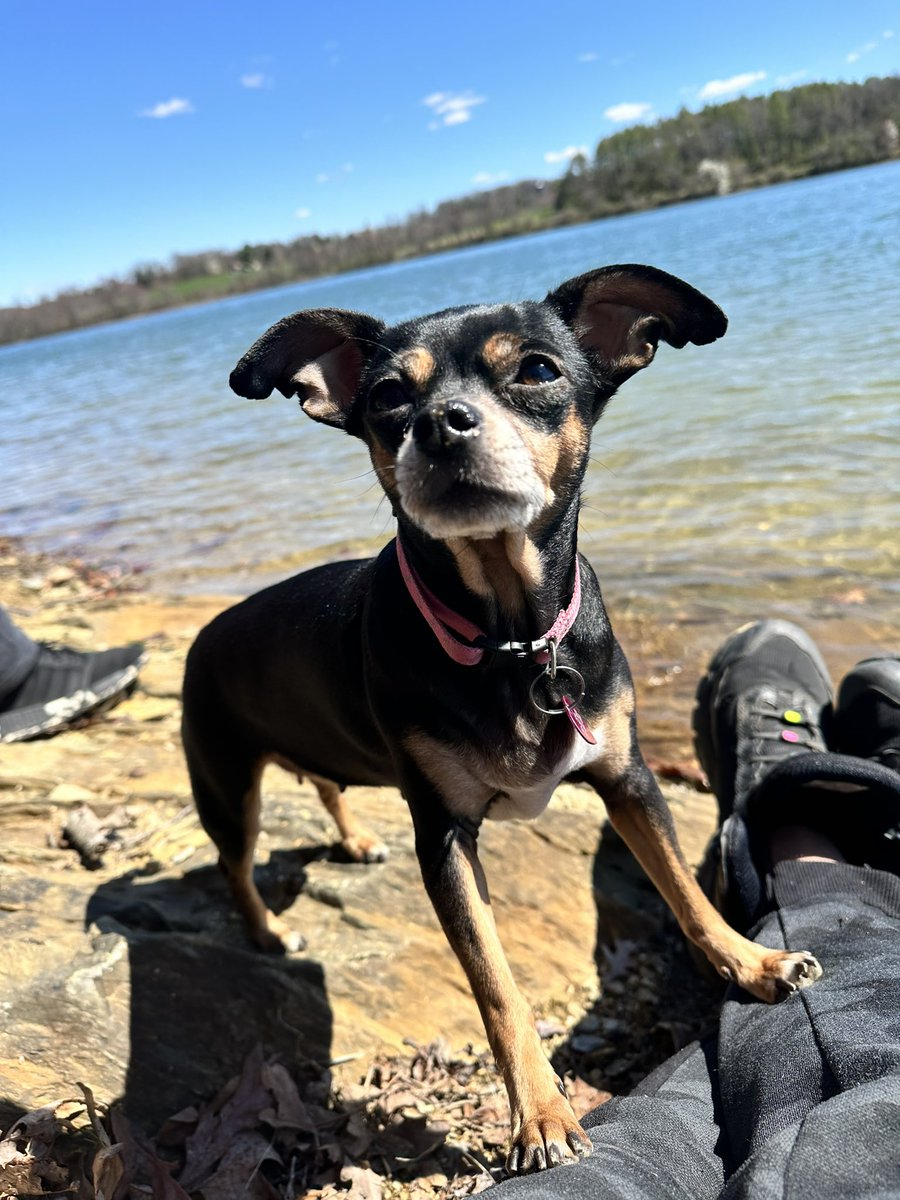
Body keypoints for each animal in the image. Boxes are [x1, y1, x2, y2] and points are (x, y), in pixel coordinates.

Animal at [183, 267, 825, 1176]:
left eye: (537, 370)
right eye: (388, 395)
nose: (440, 423)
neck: (511, 638)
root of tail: (203, 635)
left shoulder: (628, 779)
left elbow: (685, 891)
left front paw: (753, 962)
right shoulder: (445, 838)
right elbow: (495, 984)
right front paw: (541, 1117)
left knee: (326, 785)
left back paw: (352, 839)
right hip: (224, 778)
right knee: (235, 863)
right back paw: (267, 932)